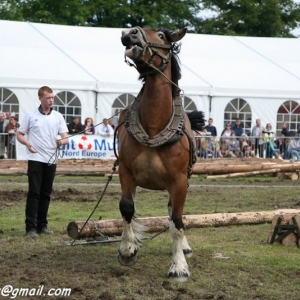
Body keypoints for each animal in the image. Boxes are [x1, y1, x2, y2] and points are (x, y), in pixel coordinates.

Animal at [116, 26, 205, 282]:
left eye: (163, 36)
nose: (130, 33)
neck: (154, 128)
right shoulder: (126, 171)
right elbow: (127, 207)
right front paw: (128, 250)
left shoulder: (179, 181)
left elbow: (177, 221)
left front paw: (179, 266)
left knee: (173, 211)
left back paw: (183, 248)